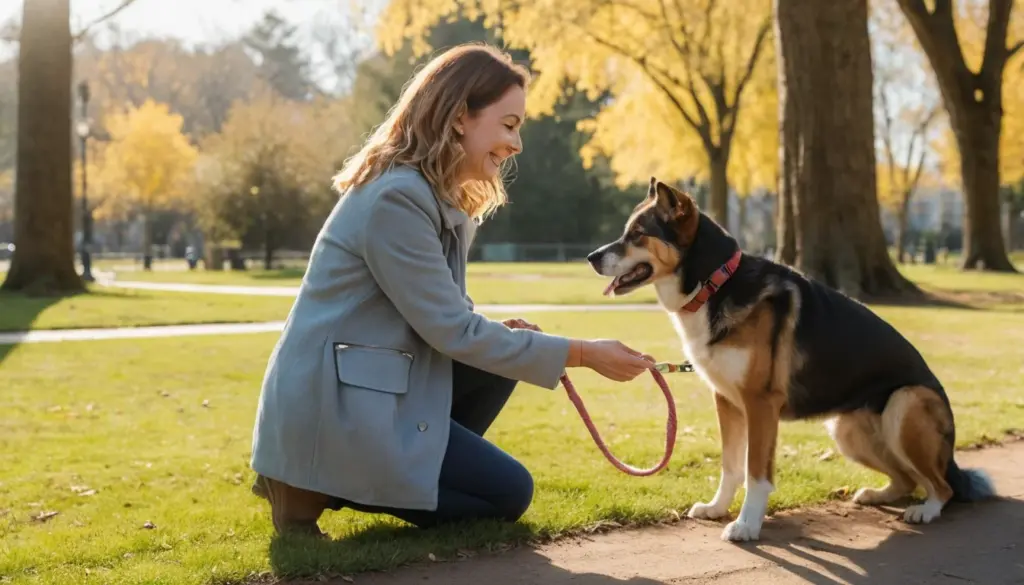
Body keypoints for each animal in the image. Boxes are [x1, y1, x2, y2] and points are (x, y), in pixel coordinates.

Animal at [589, 178, 995, 545]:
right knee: (909, 478)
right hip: (847, 432)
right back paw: (877, 495)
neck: (715, 284)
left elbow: (755, 472)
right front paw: (718, 508)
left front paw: (747, 525)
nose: (592, 257)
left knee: (942, 485)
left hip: (904, 403)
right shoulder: (727, 402)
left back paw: (926, 510)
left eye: (638, 234)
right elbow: (730, 465)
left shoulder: (760, 404)